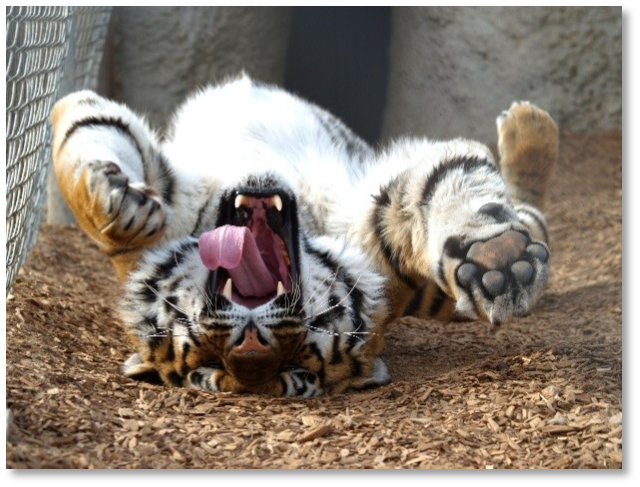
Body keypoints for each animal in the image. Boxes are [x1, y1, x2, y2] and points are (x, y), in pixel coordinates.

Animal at [50, 74, 558, 397]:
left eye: (309, 336)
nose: (250, 336)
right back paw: (530, 128)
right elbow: (77, 131)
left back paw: (529, 129)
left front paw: (497, 257)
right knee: (534, 220)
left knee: (531, 219)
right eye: (210, 361)